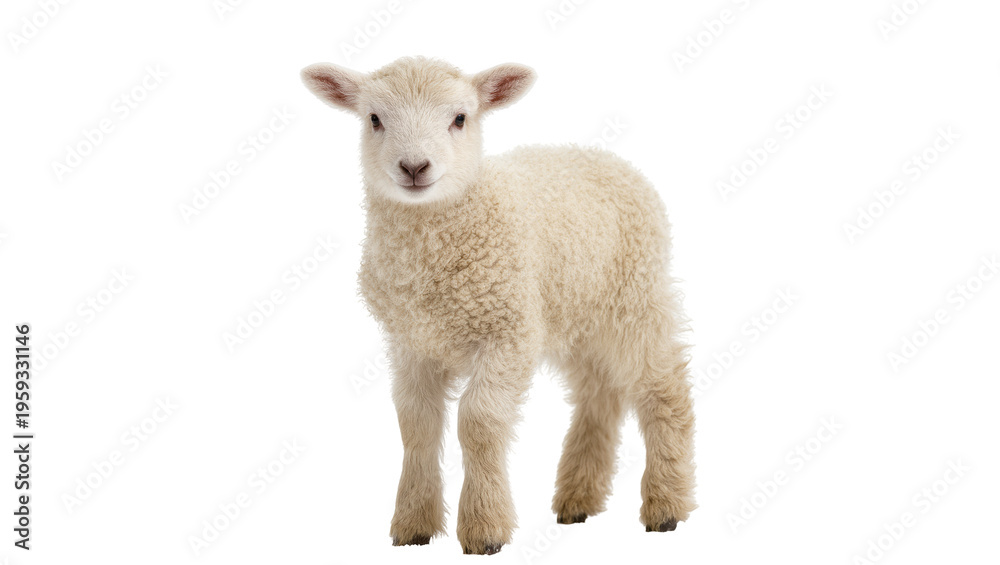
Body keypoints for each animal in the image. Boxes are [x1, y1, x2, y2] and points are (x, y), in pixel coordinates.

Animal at [301, 57, 696, 555]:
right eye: (374, 119)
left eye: (460, 118)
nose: (414, 166)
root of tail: (602, 157)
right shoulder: (412, 342)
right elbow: (416, 423)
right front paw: (413, 524)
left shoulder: (507, 332)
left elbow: (479, 421)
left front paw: (484, 527)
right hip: (575, 313)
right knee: (598, 394)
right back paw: (578, 498)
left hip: (635, 297)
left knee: (664, 388)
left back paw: (666, 504)